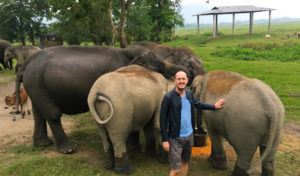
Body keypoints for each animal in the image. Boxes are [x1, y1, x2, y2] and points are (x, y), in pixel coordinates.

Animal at [14, 45, 188, 154]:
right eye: (158, 67)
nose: (184, 74)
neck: (127, 52)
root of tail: (24, 65)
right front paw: (133, 147)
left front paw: (134, 146)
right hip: (37, 85)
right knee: (52, 114)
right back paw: (68, 149)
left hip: (35, 86)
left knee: (39, 114)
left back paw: (43, 143)